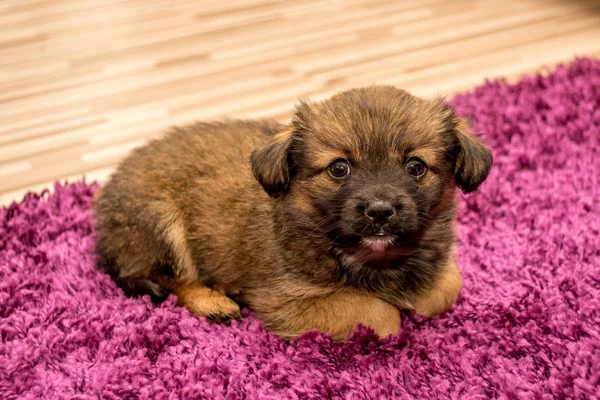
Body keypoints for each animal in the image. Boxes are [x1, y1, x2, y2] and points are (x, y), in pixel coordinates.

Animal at [92, 85, 488, 340]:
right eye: (339, 168)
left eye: (415, 167)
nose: (380, 211)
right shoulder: (288, 301)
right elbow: (381, 314)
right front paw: (394, 311)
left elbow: (446, 287)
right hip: (161, 223)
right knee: (175, 278)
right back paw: (214, 301)